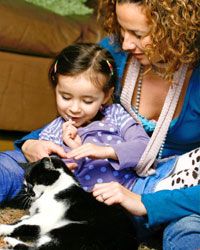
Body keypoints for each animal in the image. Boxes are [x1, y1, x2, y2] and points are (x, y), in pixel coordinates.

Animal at [0, 155, 138, 249]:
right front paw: (24, 215)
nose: (29, 193)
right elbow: (26, 218)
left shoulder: (46, 217)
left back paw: (10, 241)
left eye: (35, 182)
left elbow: (20, 225)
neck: (57, 189)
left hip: (72, 231)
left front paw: (3, 227)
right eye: (26, 185)